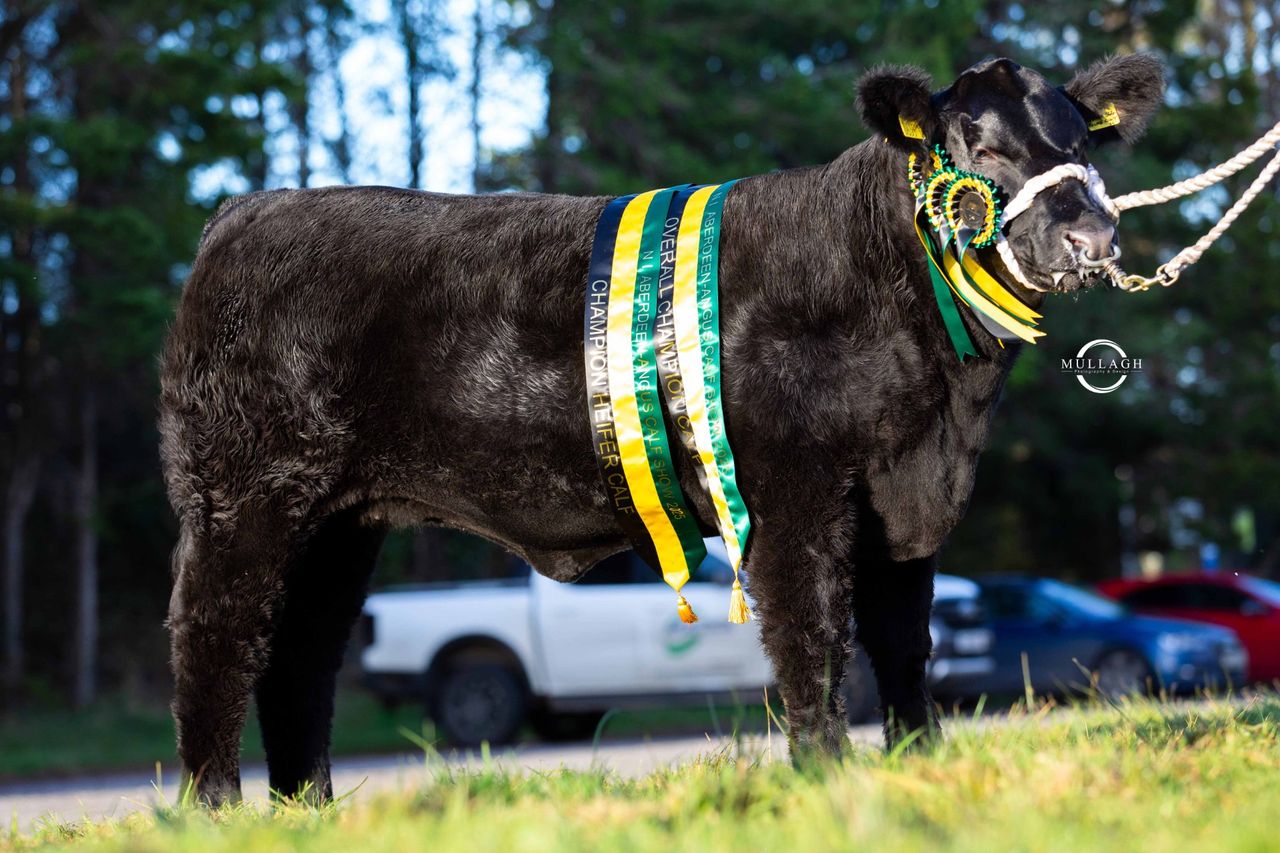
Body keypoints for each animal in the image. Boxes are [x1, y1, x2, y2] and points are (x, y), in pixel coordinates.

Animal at [159, 54, 1165, 805]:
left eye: (1083, 142)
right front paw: (825, 775)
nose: (1090, 237)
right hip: (242, 496)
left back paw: (308, 813)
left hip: (339, 523)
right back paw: (218, 810)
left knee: (299, 656)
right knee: (215, 639)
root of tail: (243, 213)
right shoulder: (791, 489)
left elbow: (903, 644)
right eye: (980, 146)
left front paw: (919, 765)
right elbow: (813, 638)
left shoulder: (902, 499)